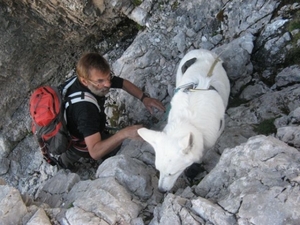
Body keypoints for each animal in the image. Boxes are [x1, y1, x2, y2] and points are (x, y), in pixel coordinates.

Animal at [138, 48, 230, 192]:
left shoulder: (210, 139)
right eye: (158, 170)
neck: (187, 121)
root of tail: (202, 51)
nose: (161, 190)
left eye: (172, 173)